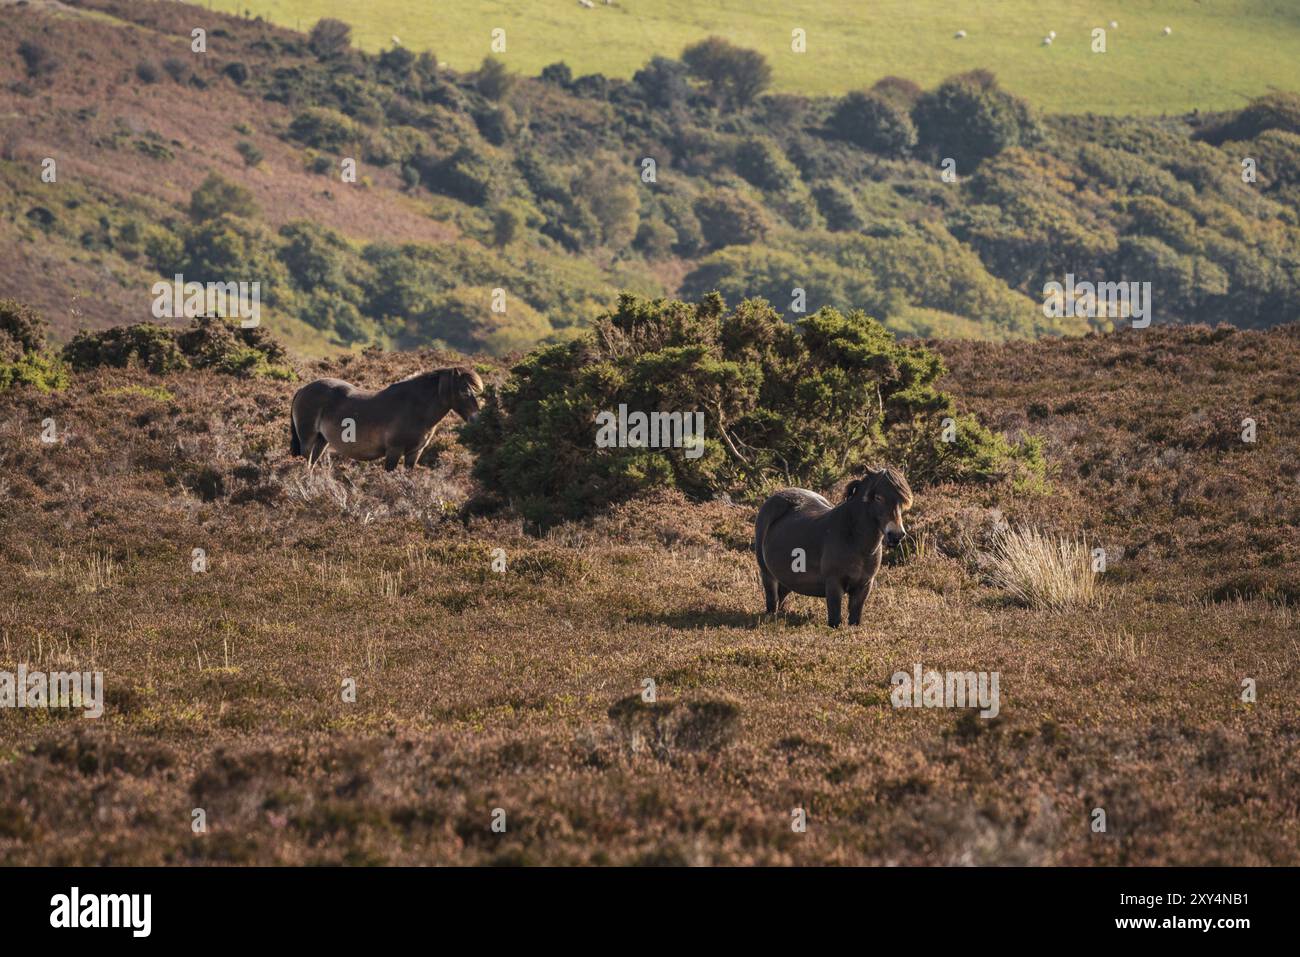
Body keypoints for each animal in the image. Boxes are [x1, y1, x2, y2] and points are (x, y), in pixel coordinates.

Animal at [289, 366, 483, 470]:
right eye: (464, 391)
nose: (476, 419)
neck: (415, 408)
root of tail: (303, 389)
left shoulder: (414, 453)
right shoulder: (394, 451)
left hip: (322, 441)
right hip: (308, 440)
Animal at [754, 465, 915, 629]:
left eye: (901, 501)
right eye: (878, 498)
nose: (896, 535)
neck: (854, 540)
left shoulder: (864, 586)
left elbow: (855, 618)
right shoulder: (833, 584)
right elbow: (835, 619)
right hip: (767, 574)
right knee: (772, 599)